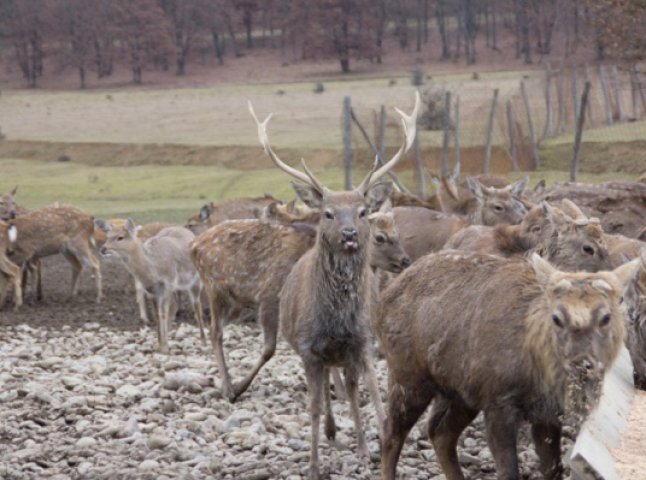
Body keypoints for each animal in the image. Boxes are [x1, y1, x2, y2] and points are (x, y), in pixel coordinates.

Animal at [100, 220, 205, 352]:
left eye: (120, 237)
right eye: (107, 236)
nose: (103, 249)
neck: (153, 268)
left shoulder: (168, 283)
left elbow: (163, 313)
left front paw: (164, 347)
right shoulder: (153, 290)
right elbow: (157, 315)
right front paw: (159, 345)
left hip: (195, 281)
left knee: (197, 306)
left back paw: (203, 341)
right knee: (175, 306)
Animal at [247, 92, 420, 478]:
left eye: (362, 211)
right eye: (328, 212)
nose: (350, 234)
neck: (335, 321)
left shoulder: (361, 342)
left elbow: (368, 393)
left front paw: (371, 449)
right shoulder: (309, 348)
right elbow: (313, 406)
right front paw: (313, 464)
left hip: (343, 354)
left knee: (348, 390)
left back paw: (354, 442)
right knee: (327, 393)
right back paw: (329, 431)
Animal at [378, 251, 640, 480]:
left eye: (606, 317)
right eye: (556, 317)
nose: (581, 362)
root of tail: (382, 298)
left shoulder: (546, 411)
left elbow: (552, 468)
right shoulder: (498, 401)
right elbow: (508, 472)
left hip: (460, 392)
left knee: (439, 431)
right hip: (407, 376)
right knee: (391, 433)